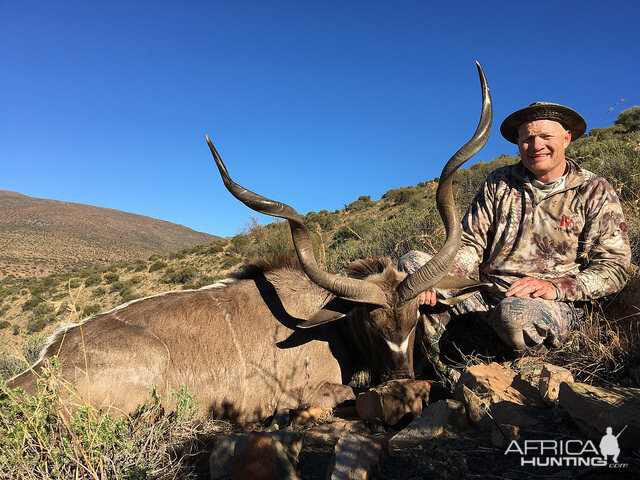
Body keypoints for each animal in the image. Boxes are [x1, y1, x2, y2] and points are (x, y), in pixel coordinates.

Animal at [8, 62, 490, 420]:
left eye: (415, 319)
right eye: (370, 323)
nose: (401, 382)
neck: (325, 318)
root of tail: (37, 371)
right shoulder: (301, 391)